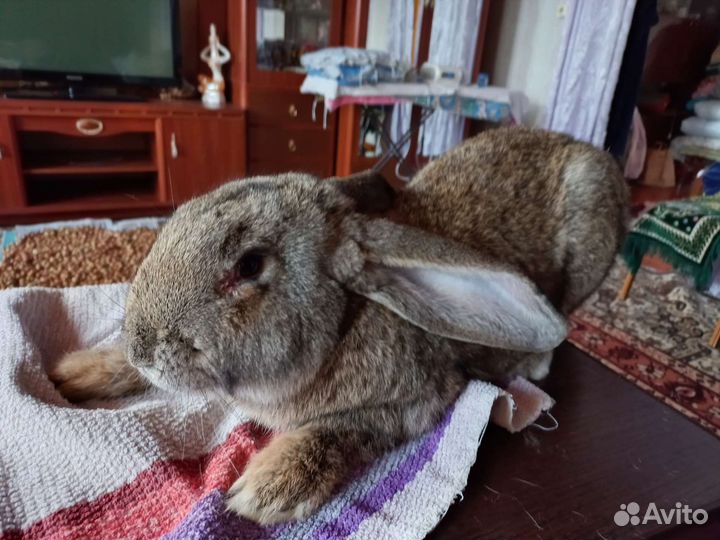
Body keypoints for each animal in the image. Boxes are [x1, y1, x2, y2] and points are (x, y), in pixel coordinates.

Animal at [50, 126, 628, 524]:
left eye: (250, 266)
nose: (142, 348)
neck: (344, 321)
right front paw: (75, 374)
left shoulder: (418, 399)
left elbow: (342, 429)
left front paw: (266, 489)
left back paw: (539, 357)